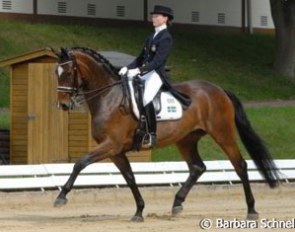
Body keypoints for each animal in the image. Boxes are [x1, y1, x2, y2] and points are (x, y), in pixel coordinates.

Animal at [52, 46, 280, 221]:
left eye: (69, 72)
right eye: (56, 72)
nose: (62, 105)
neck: (109, 96)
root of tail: (219, 89)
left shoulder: (111, 145)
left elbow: (80, 163)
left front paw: (61, 197)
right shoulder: (116, 151)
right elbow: (130, 177)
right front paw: (139, 211)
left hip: (223, 134)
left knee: (240, 165)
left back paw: (251, 210)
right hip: (186, 139)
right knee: (197, 167)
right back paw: (177, 203)